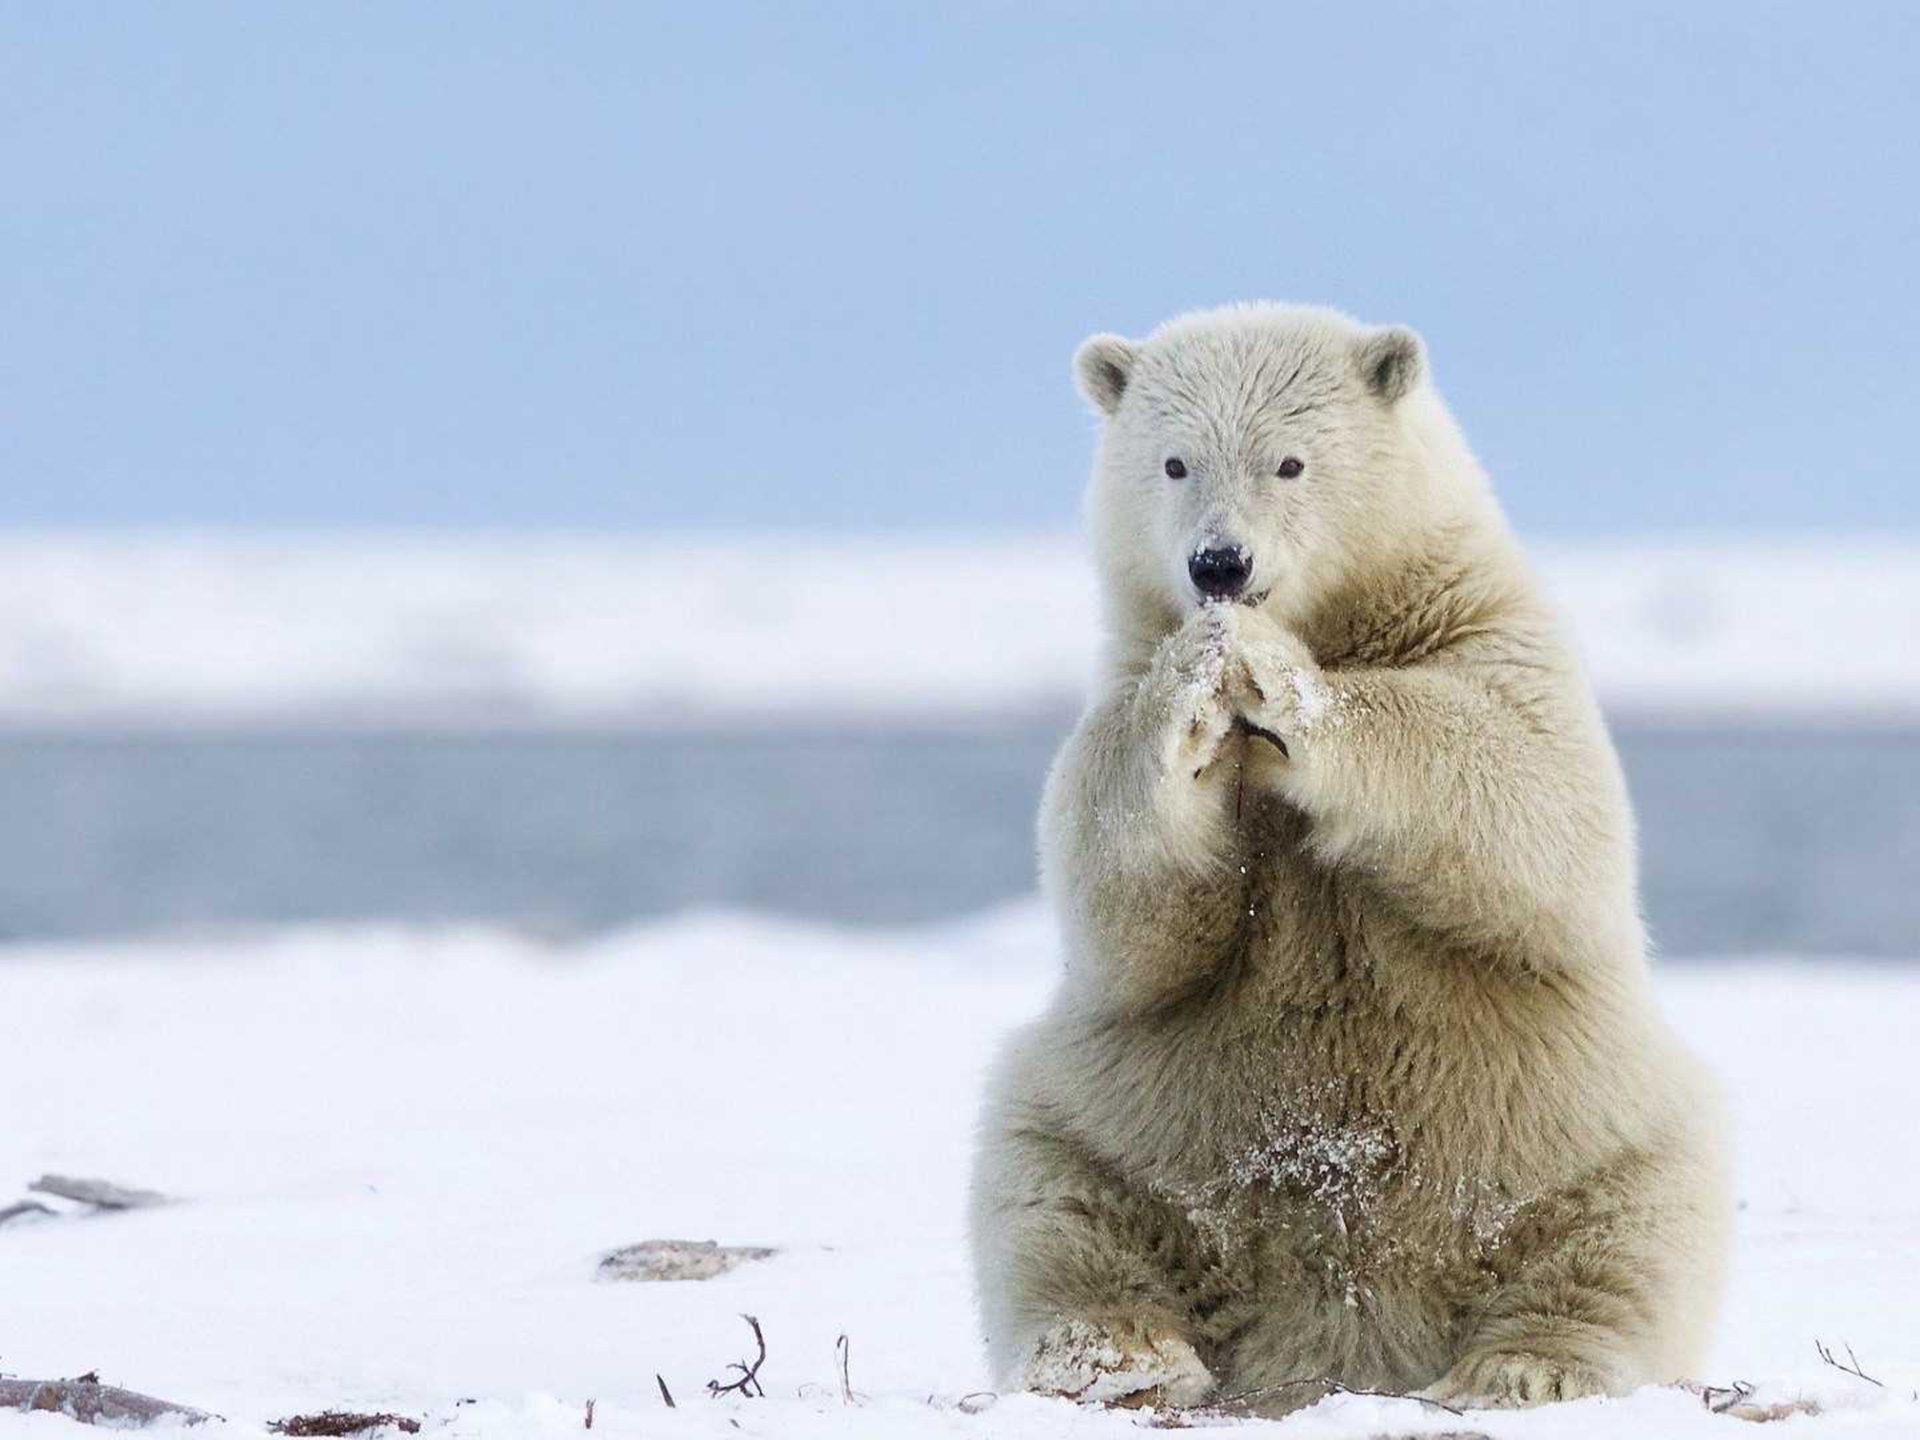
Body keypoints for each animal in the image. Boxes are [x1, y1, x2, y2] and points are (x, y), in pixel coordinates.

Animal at [968, 303, 1729, 1411]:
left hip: (1579, 1121)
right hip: (1124, 1115)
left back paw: (1526, 1364)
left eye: (1289, 461)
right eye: (1173, 461)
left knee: (1627, 1231)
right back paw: (1117, 1354)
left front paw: (1277, 677)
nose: (1219, 565)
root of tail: (1338, 1336)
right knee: (1053, 1194)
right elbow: (1120, 896)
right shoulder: (1116, 680)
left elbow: (1527, 792)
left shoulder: (1488, 638)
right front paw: (1198, 682)